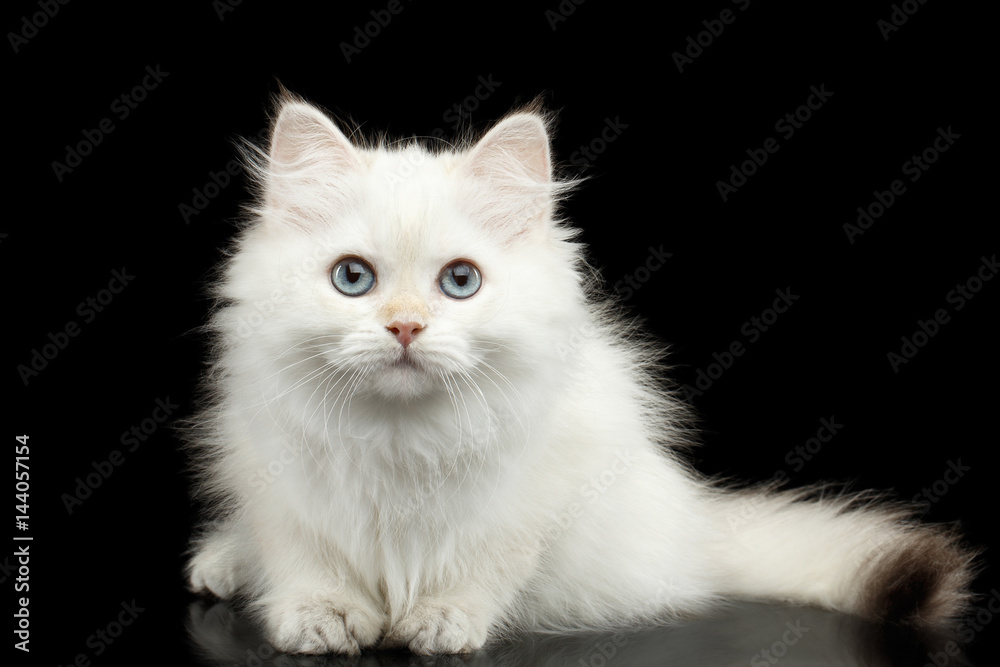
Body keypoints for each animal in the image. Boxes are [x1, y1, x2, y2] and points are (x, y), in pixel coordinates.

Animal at [186, 94, 976, 656]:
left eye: (460, 282)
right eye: (353, 278)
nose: (406, 327)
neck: (399, 435)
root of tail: (697, 525)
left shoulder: (530, 499)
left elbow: (476, 569)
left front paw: (440, 621)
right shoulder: (278, 484)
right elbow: (309, 563)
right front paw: (320, 619)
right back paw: (219, 566)